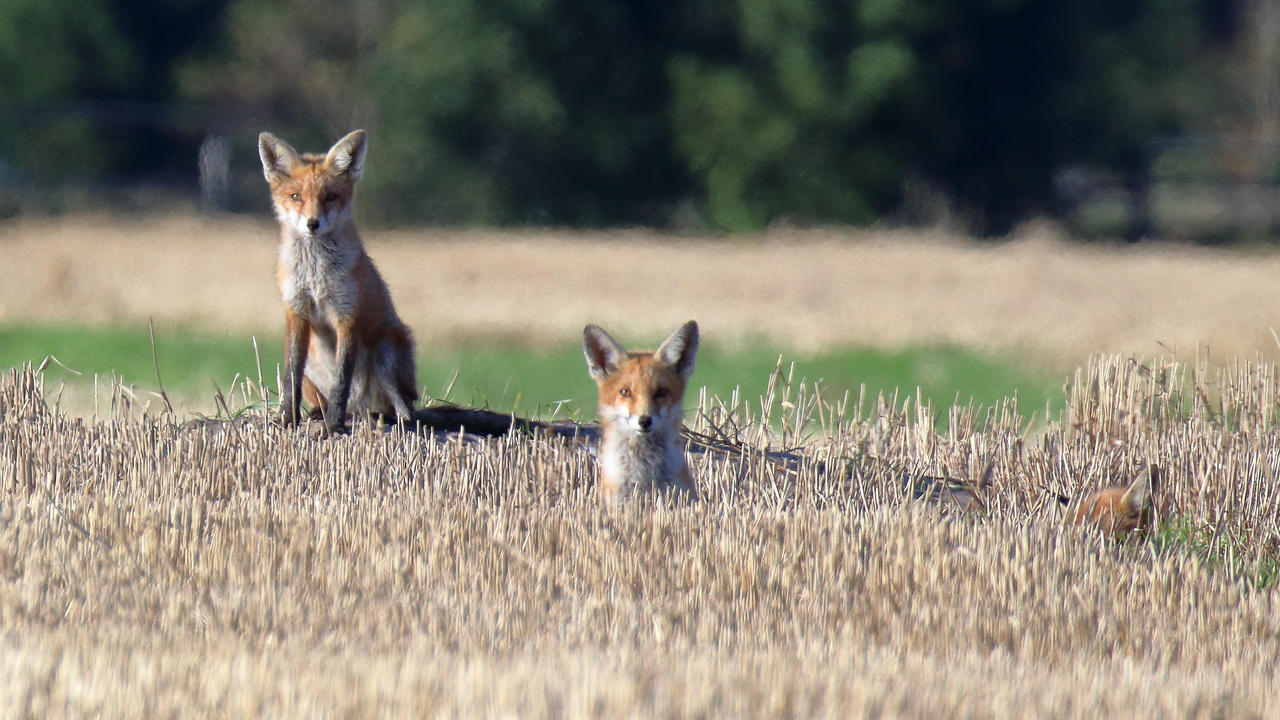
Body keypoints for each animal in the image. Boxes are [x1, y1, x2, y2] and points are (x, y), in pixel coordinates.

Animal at [257, 127, 417, 430]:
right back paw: (318, 413)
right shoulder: (296, 310)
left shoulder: (347, 314)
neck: (315, 274)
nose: (312, 223)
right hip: (313, 360)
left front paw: (334, 426)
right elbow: (290, 378)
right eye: (296, 196)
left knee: (402, 407)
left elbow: (341, 379)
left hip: (386, 350)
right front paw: (287, 418)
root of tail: (361, 408)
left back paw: (395, 420)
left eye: (330, 197)